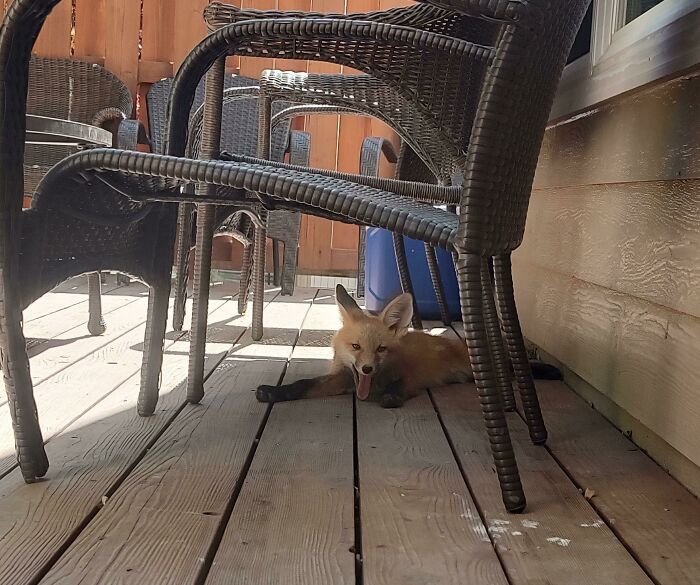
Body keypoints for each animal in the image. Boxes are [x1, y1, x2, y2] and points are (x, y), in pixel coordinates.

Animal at [256, 284, 561, 408]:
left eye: (381, 349)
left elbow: (401, 385)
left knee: (510, 370)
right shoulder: (342, 377)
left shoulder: (411, 376)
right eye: (355, 346)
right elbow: (302, 385)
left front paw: (392, 396)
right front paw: (273, 392)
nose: (367, 369)